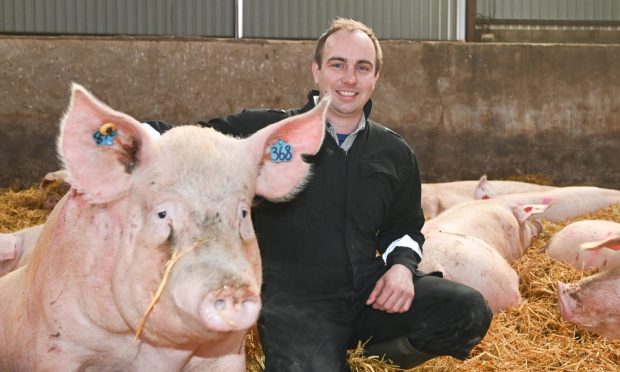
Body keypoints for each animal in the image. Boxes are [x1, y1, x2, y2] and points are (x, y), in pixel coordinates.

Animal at [0, 85, 330, 372]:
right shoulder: (57, 349)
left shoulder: (227, 353)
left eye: (243, 213)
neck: (161, 354)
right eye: (162, 214)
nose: (232, 290)